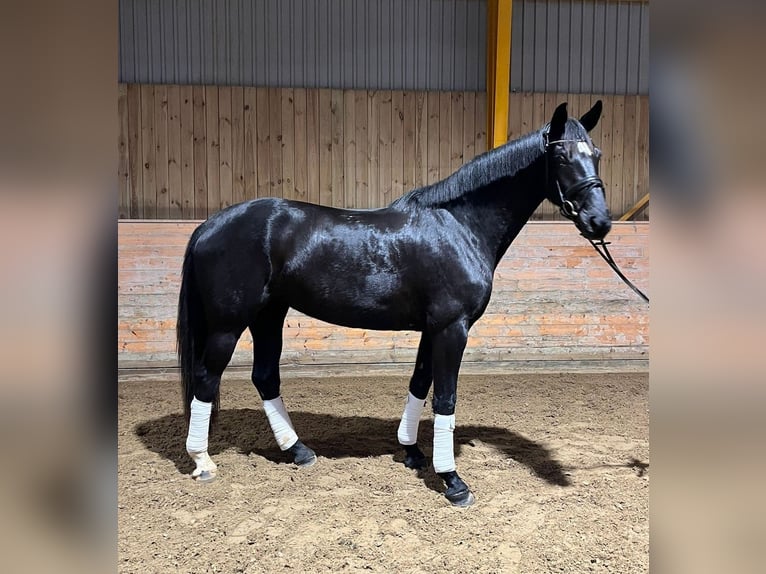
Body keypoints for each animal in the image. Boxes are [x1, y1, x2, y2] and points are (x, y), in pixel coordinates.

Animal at [177, 101, 608, 506]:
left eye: (598, 154)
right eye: (562, 157)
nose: (599, 222)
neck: (458, 226)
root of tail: (209, 225)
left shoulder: (432, 329)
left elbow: (420, 383)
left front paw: (412, 451)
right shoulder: (452, 328)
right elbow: (445, 397)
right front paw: (453, 481)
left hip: (269, 315)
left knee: (265, 377)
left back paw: (298, 451)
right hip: (228, 324)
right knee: (206, 379)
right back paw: (202, 461)